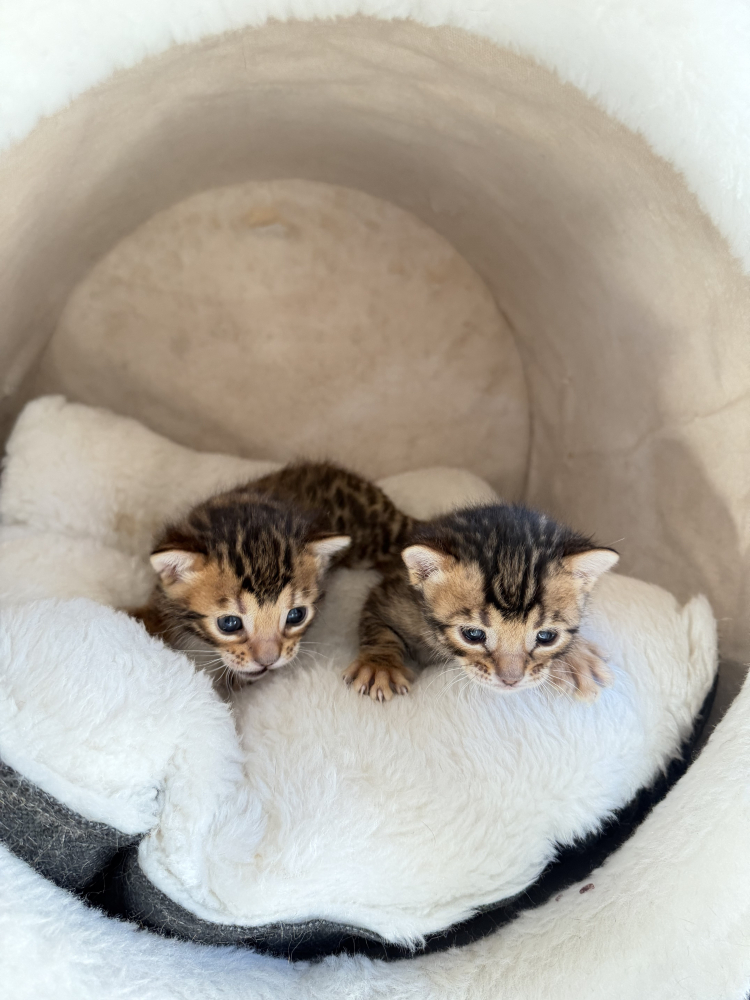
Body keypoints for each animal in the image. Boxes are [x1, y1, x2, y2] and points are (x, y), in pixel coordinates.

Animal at [344, 503, 619, 703]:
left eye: (546, 637)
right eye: (473, 635)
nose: (511, 680)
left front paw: (576, 657)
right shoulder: (393, 596)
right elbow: (379, 629)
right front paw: (380, 666)